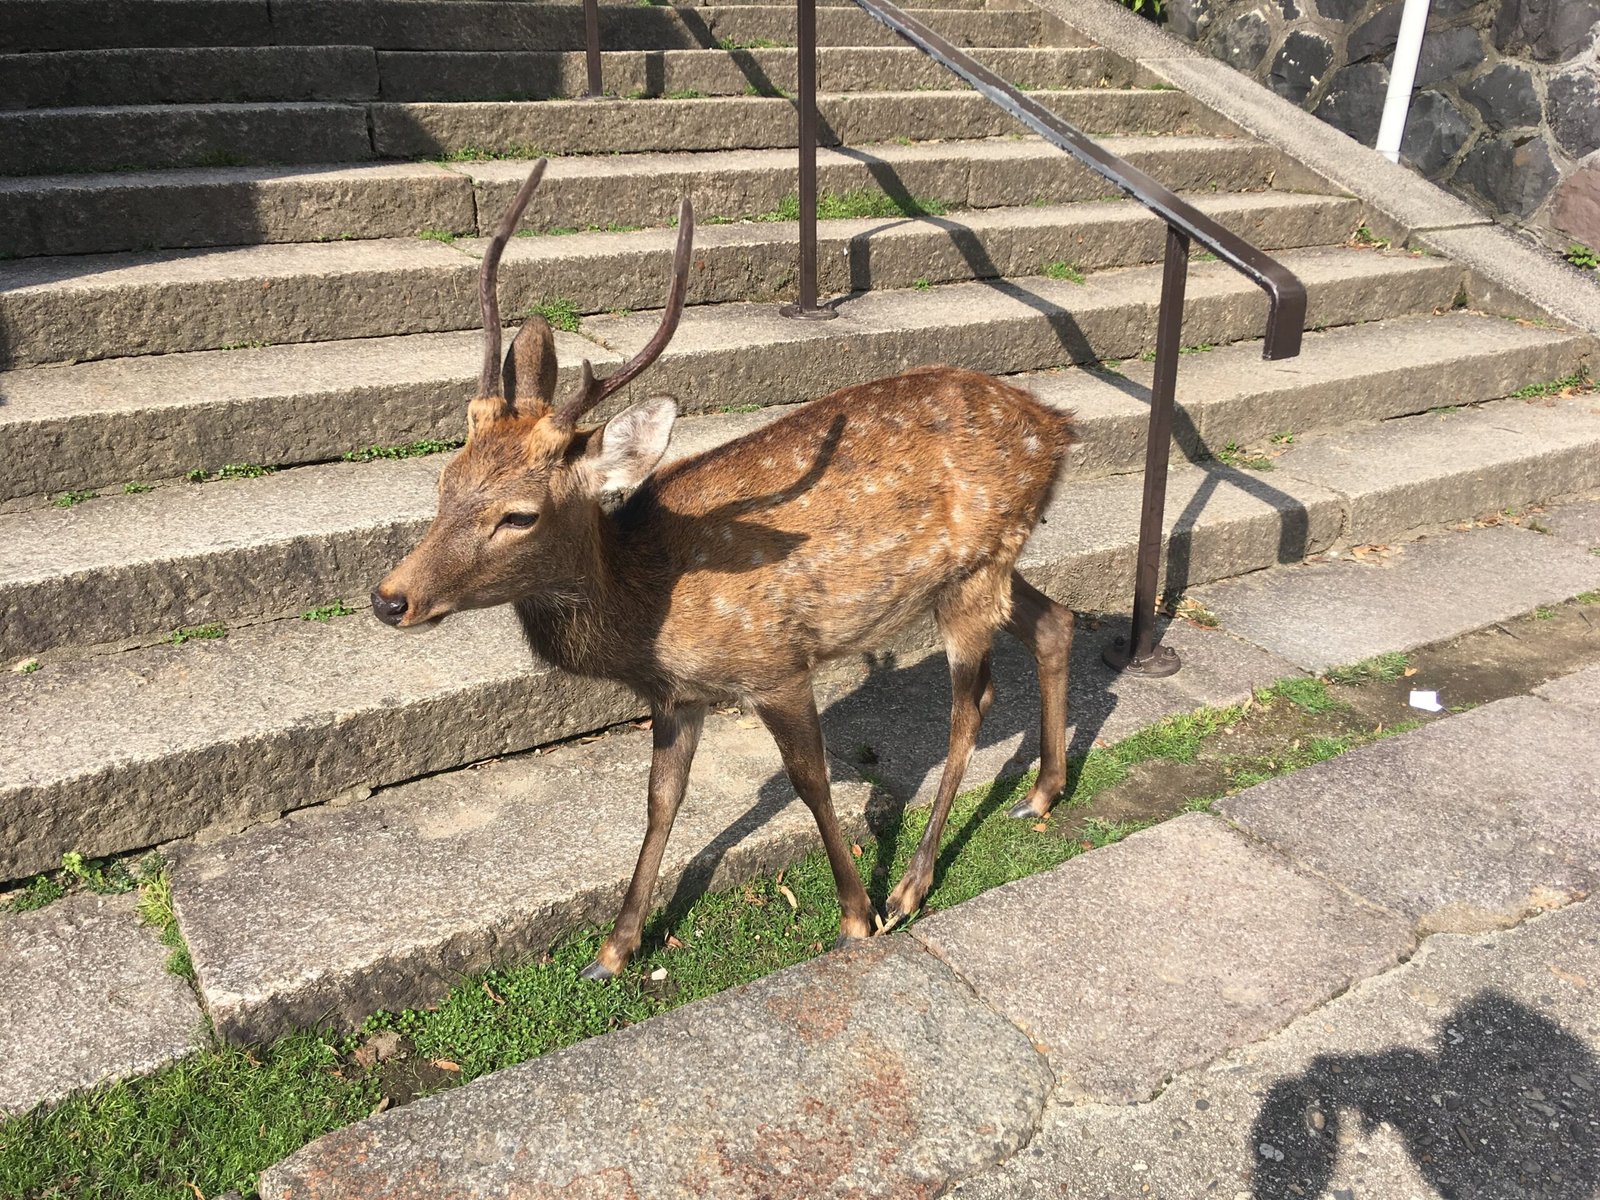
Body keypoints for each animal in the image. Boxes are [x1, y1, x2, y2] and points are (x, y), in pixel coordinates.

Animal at [371, 162, 1078, 981]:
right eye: (444, 482)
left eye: (518, 515)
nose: (390, 599)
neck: (650, 615)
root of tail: (1062, 428)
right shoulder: (679, 695)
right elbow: (661, 799)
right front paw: (614, 949)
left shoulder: (776, 662)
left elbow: (809, 782)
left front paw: (855, 918)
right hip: (988, 561)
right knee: (1057, 620)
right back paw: (1041, 793)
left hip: (972, 577)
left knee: (975, 701)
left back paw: (910, 886)